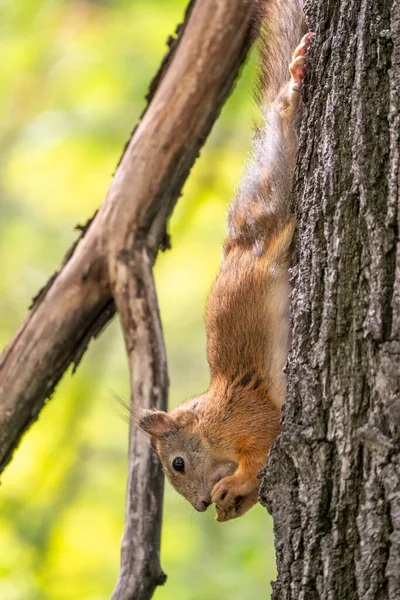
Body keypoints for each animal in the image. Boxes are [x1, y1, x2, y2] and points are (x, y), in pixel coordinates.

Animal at [139, 2, 314, 520]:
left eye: (177, 463)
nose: (199, 505)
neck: (212, 416)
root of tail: (242, 242)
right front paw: (232, 502)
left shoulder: (249, 419)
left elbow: (262, 450)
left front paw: (232, 486)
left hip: (277, 186)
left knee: (282, 122)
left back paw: (294, 81)